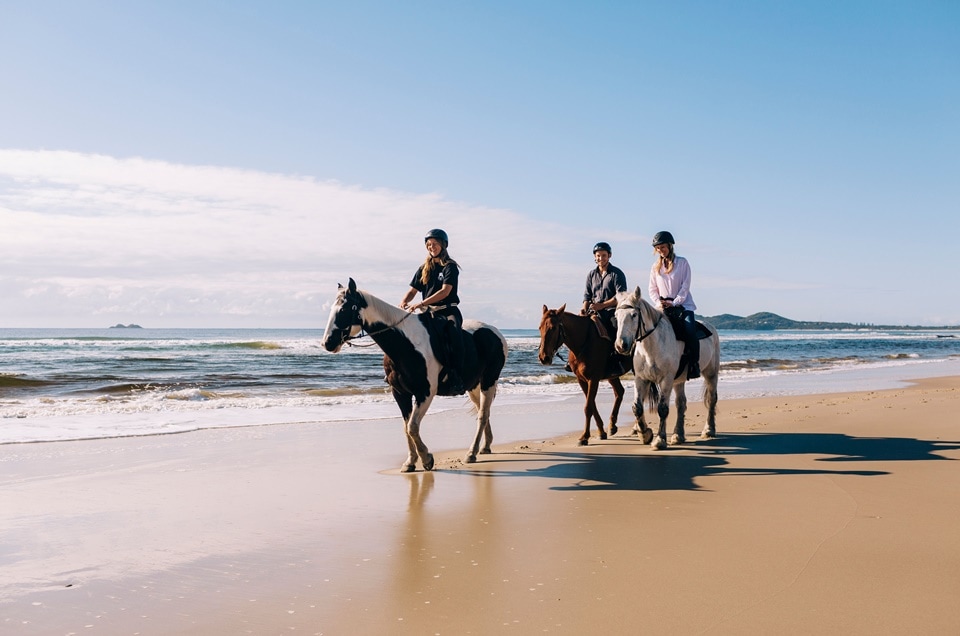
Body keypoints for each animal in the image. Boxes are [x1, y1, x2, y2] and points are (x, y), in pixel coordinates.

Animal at [320, 280, 510, 472]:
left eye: (344, 309)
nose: (327, 343)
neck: (406, 344)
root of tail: (496, 332)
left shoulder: (425, 393)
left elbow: (412, 426)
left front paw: (426, 459)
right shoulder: (400, 393)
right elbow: (406, 428)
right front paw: (410, 462)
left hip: (489, 380)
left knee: (482, 415)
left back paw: (471, 453)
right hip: (473, 386)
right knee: (483, 411)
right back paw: (485, 446)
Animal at [536, 304, 632, 444]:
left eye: (553, 328)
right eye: (540, 327)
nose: (544, 358)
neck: (583, 342)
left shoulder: (593, 379)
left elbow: (588, 407)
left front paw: (584, 436)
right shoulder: (581, 379)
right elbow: (591, 404)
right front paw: (601, 432)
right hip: (612, 376)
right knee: (619, 392)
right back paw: (612, 426)